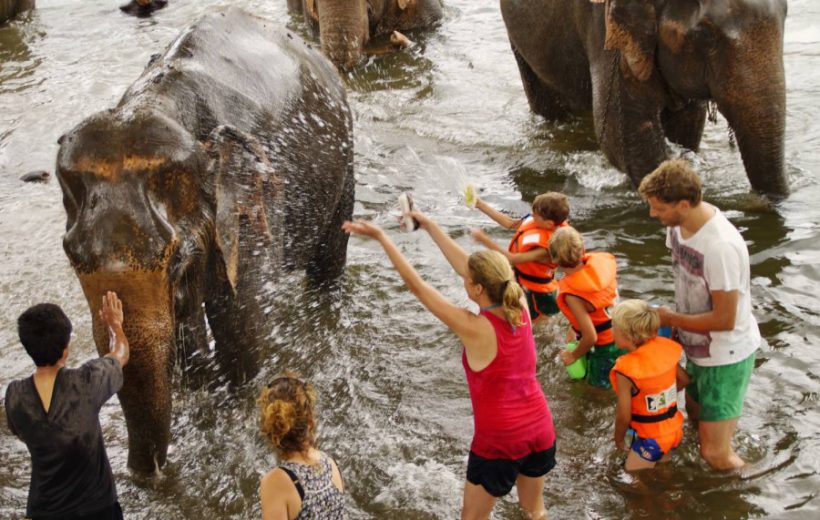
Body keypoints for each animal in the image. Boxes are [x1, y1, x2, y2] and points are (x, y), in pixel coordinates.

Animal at [55, 8, 355, 472]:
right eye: (72, 255)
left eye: (176, 259)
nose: (144, 476)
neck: (161, 104)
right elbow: (188, 335)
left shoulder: (252, 206)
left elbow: (241, 327)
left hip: (344, 163)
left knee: (328, 262)